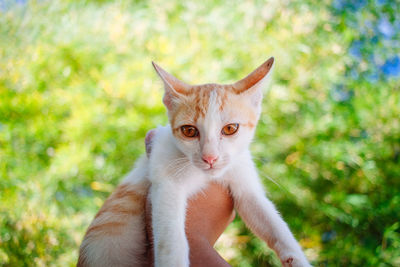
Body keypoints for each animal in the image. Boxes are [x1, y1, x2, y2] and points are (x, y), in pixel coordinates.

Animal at [77, 58, 310, 267]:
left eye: (230, 128)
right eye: (189, 131)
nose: (210, 157)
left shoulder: (244, 182)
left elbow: (274, 223)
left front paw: (297, 259)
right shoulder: (165, 182)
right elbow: (171, 239)